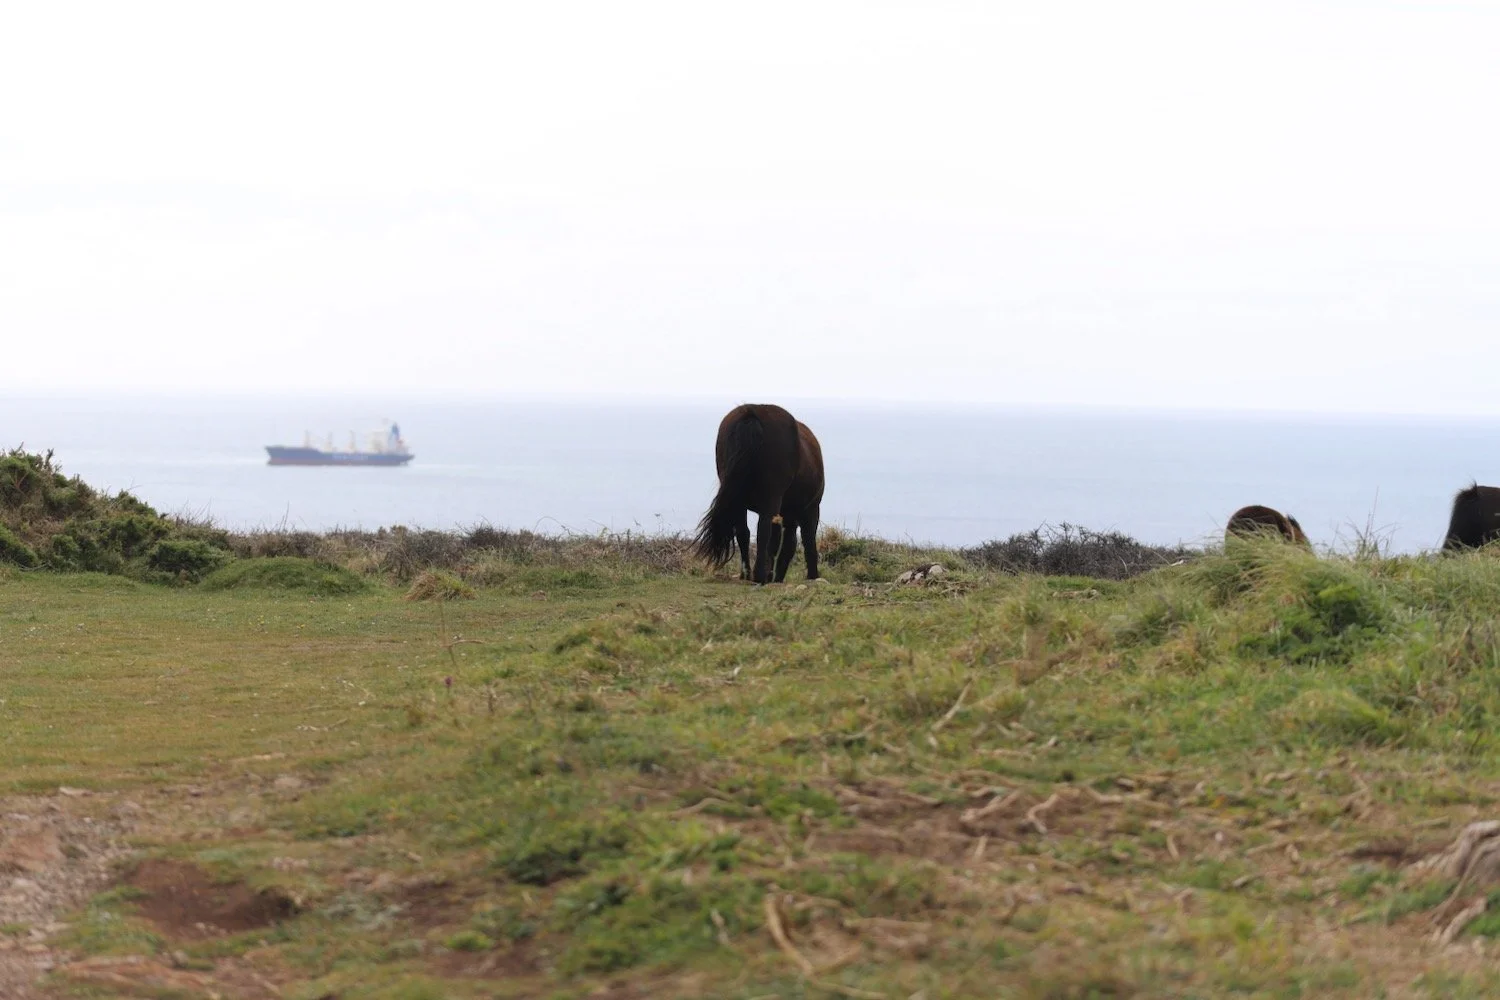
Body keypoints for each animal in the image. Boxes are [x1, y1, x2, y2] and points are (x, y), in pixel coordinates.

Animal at [693, 403, 824, 584]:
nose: (778, 578)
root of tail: (752, 412)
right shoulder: (811, 509)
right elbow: (807, 542)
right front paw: (813, 576)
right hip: (773, 497)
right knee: (764, 531)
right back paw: (760, 575)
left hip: (738, 500)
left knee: (744, 532)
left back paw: (747, 574)